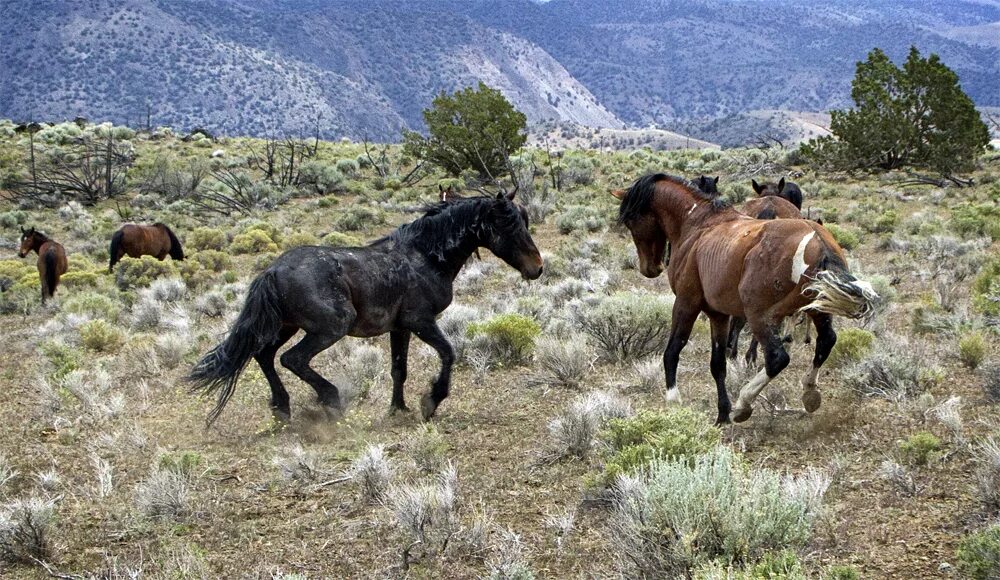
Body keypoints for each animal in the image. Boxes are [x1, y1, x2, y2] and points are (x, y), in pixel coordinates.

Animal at [190, 193, 544, 424]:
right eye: (510, 226)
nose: (537, 268)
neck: (424, 257)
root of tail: (273, 270)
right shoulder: (421, 322)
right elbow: (448, 353)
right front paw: (431, 401)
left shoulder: (400, 328)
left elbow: (399, 369)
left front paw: (398, 408)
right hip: (329, 328)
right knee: (292, 359)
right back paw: (331, 400)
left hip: (286, 326)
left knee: (263, 355)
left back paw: (282, 408)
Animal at [612, 174, 880, 424]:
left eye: (630, 220)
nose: (650, 268)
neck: (699, 224)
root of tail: (819, 241)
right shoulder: (718, 314)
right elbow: (717, 364)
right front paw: (722, 415)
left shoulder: (686, 304)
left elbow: (672, 351)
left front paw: (673, 401)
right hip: (816, 310)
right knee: (826, 341)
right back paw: (809, 393)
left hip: (760, 316)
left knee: (777, 358)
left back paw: (744, 403)